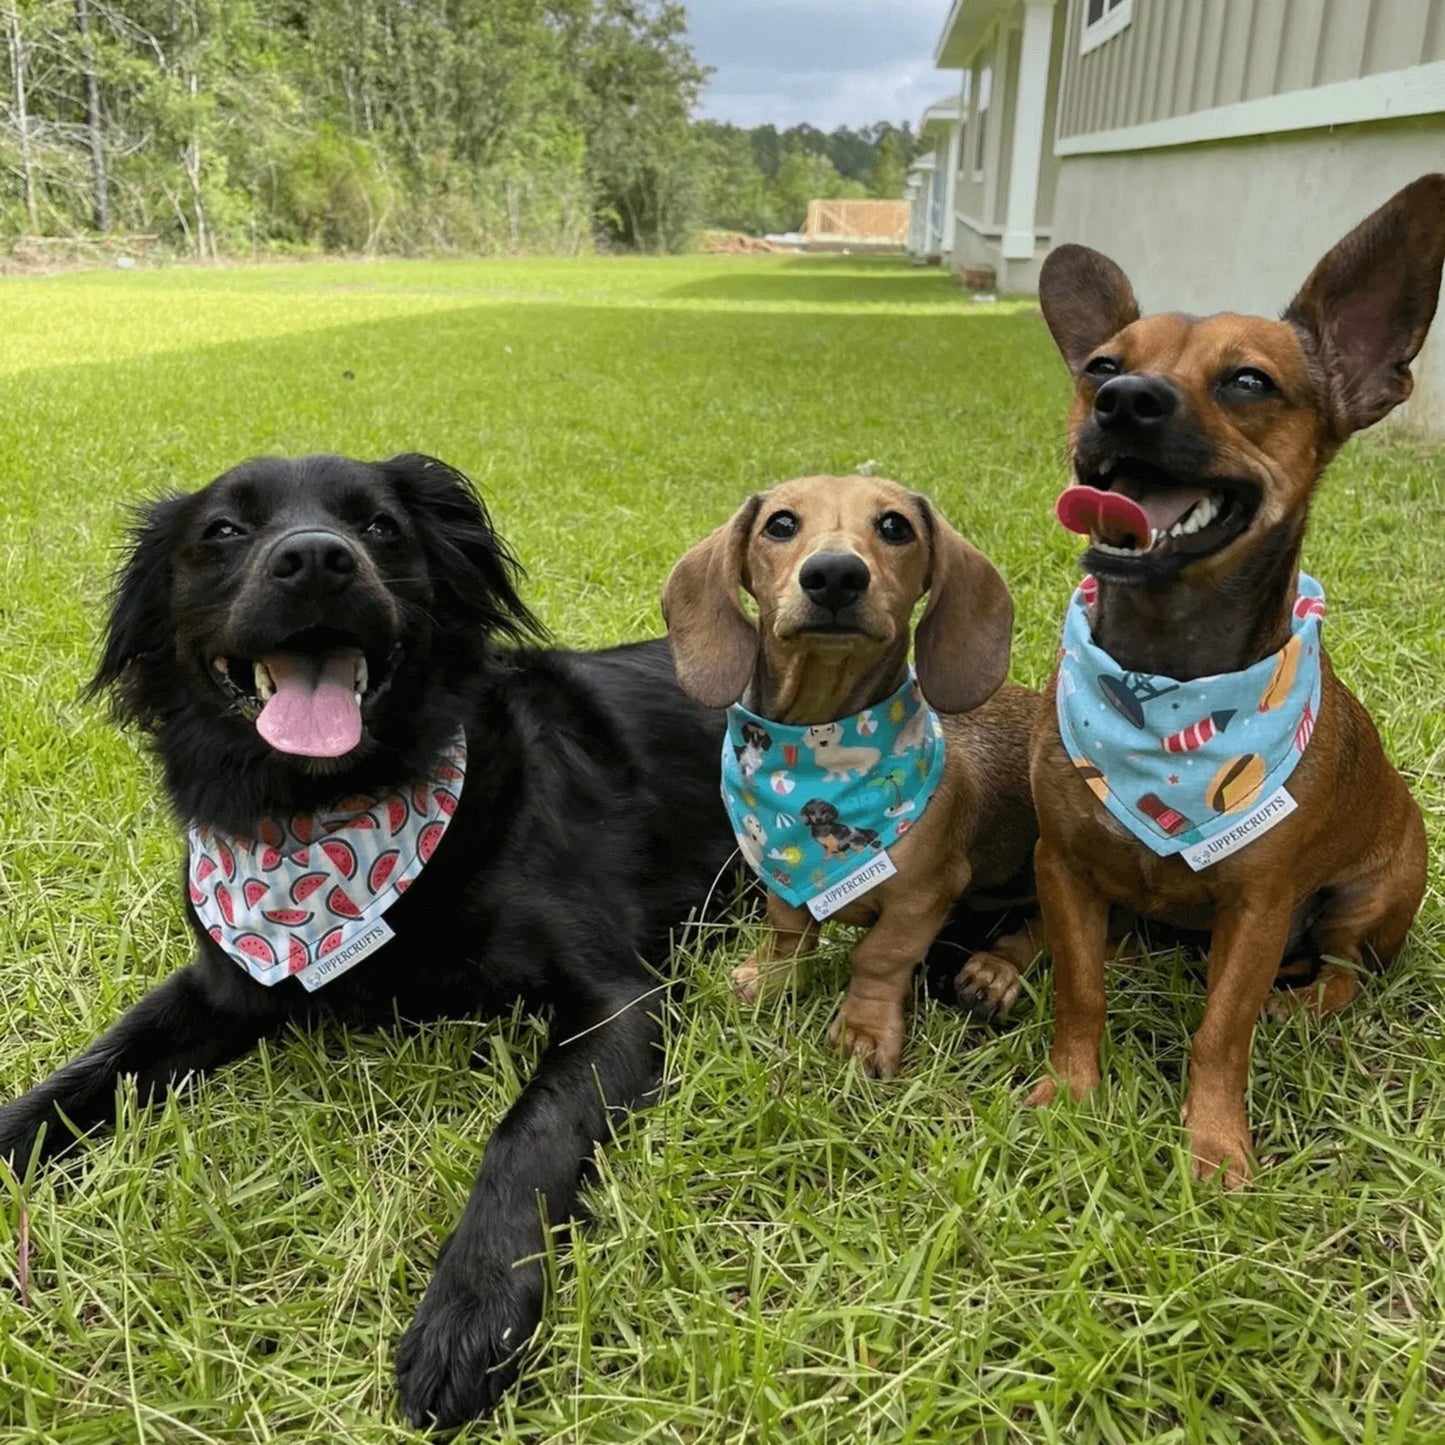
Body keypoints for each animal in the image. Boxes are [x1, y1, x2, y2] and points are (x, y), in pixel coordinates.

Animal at [0, 453, 739, 1433]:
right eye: (224, 531)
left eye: (381, 526)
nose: (317, 558)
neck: (324, 816)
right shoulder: (222, 980)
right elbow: (84, 1072)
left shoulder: (617, 995)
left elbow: (530, 1129)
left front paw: (471, 1309)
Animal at [661, 473, 1046, 1075]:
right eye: (781, 523)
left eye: (894, 525)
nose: (836, 575)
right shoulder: (782, 875)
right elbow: (788, 932)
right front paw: (770, 980)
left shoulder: (923, 897)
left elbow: (880, 957)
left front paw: (864, 1033)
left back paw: (995, 972)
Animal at [1034, 171, 1439, 1184]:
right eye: (1100, 366)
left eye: (1248, 380)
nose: (1123, 400)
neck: (1160, 675)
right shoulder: (1062, 868)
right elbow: (1079, 992)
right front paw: (1069, 1091)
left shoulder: (1258, 912)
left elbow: (1221, 1030)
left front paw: (1213, 1144)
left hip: (1362, 900)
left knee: (1340, 976)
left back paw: (1297, 1007)